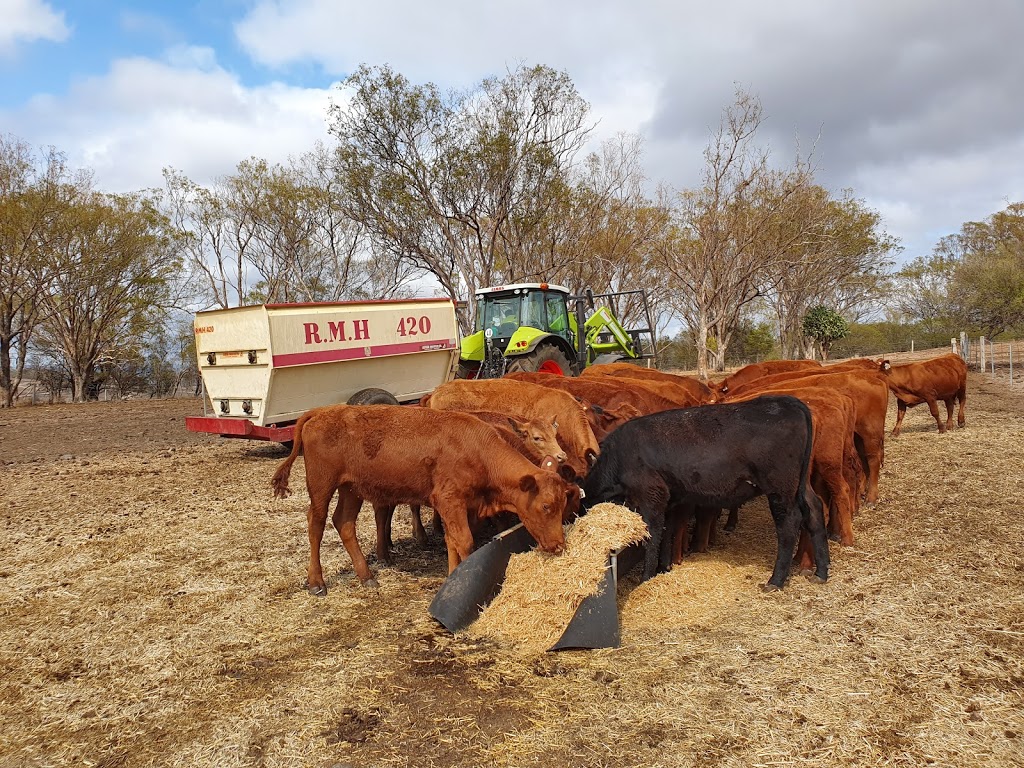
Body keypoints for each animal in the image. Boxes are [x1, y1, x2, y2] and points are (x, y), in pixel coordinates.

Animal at [268, 409, 573, 593]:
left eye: (562, 504)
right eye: (546, 506)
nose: (559, 545)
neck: (478, 449)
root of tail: (322, 411)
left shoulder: (456, 507)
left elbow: (452, 541)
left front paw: (452, 575)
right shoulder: (450, 500)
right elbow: (465, 541)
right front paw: (462, 580)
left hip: (351, 489)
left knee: (343, 523)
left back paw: (367, 576)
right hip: (322, 486)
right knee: (316, 524)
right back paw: (316, 581)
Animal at [581, 397, 827, 589]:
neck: (620, 455)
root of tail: (788, 401)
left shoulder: (652, 495)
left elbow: (653, 535)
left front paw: (646, 577)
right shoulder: (671, 499)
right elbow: (668, 532)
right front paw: (664, 567)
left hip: (780, 488)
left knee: (789, 523)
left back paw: (775, 581)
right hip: (801, 484)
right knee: (815, 510)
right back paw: (821, 572)